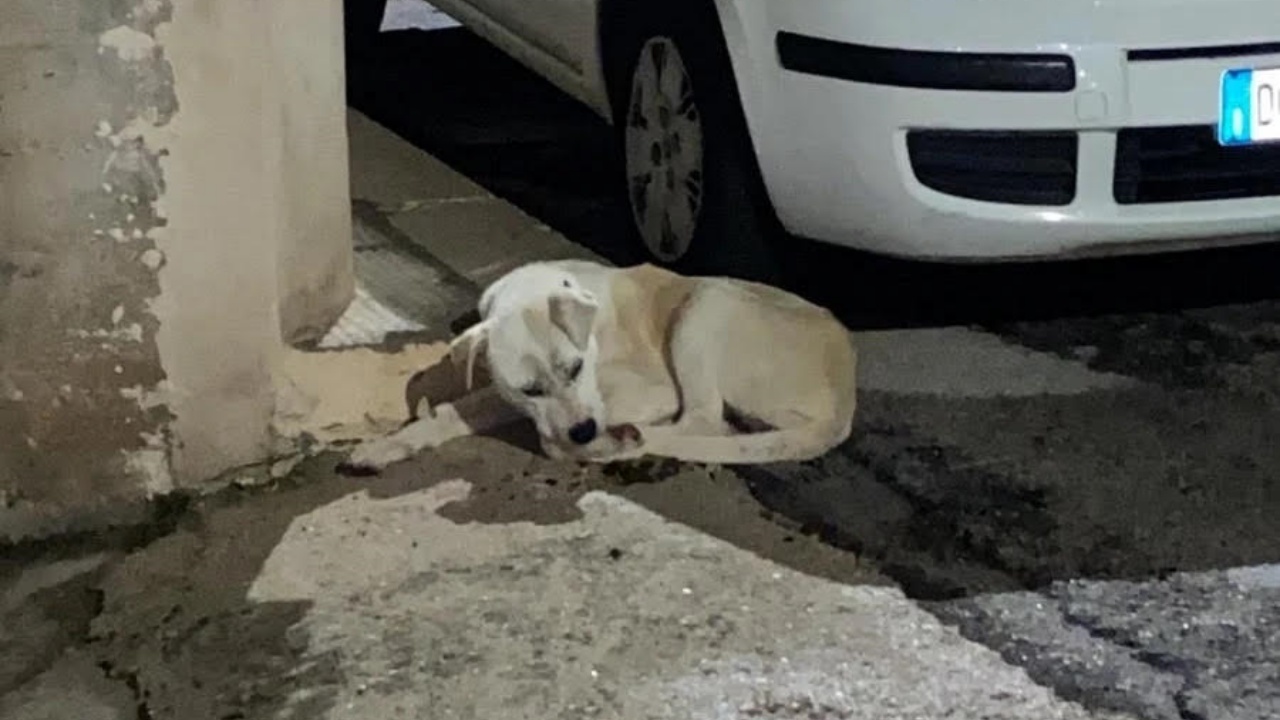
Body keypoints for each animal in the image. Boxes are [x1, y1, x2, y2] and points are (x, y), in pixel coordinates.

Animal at [345, 258, 855, 471]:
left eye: (575, 368)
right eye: (529, 390)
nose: (585, 431)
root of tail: (844, 401)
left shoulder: (651, 390)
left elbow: (551, 438)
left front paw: (597, 440)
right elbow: (459, 410)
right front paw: (389, 446)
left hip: (706, 303)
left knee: (705, 420)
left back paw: (624, 441)